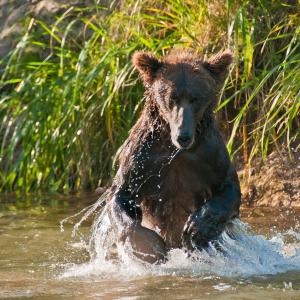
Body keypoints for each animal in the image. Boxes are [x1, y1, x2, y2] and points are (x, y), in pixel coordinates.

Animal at [106, 48, 240, 262]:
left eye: (196, 98)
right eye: (172, 97)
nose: (183, 136)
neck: (174, 149)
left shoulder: (211, 156)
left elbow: (229, 189)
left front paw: (197, 229)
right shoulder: (142, 158)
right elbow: (121, 194)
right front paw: (150, 244)